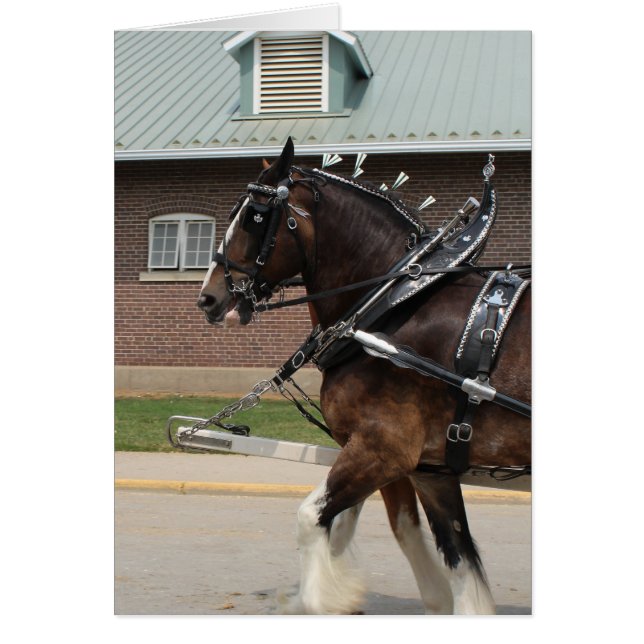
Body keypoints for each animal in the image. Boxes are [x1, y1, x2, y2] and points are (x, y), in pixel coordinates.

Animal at [197, 138, 531, 615]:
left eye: (254, 216)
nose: (208, 297)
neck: (387, 304)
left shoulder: (383, 448)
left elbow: (311, 518)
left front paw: (321, 599)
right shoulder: (431, 468)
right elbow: (454, 556)